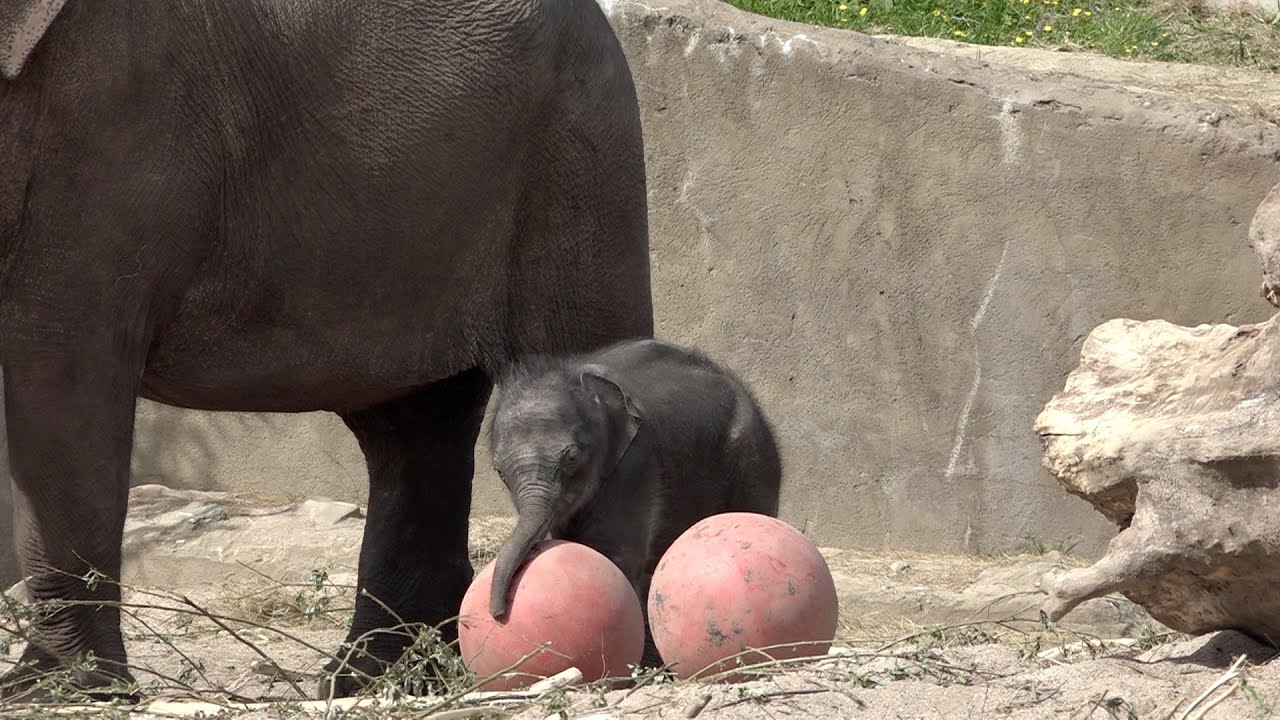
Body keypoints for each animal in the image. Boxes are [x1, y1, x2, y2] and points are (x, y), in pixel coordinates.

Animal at [0, 0, 653, 702]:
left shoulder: (112, 125)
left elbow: (66, 370)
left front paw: (55, 693)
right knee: (411, 427)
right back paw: (378, 679)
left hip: (576, 165)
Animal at [486, 337, 783, 667]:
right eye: (499, 471)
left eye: (572, 458)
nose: (499, 615)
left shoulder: (636, 462)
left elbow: (613, 555)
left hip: (752, 459)